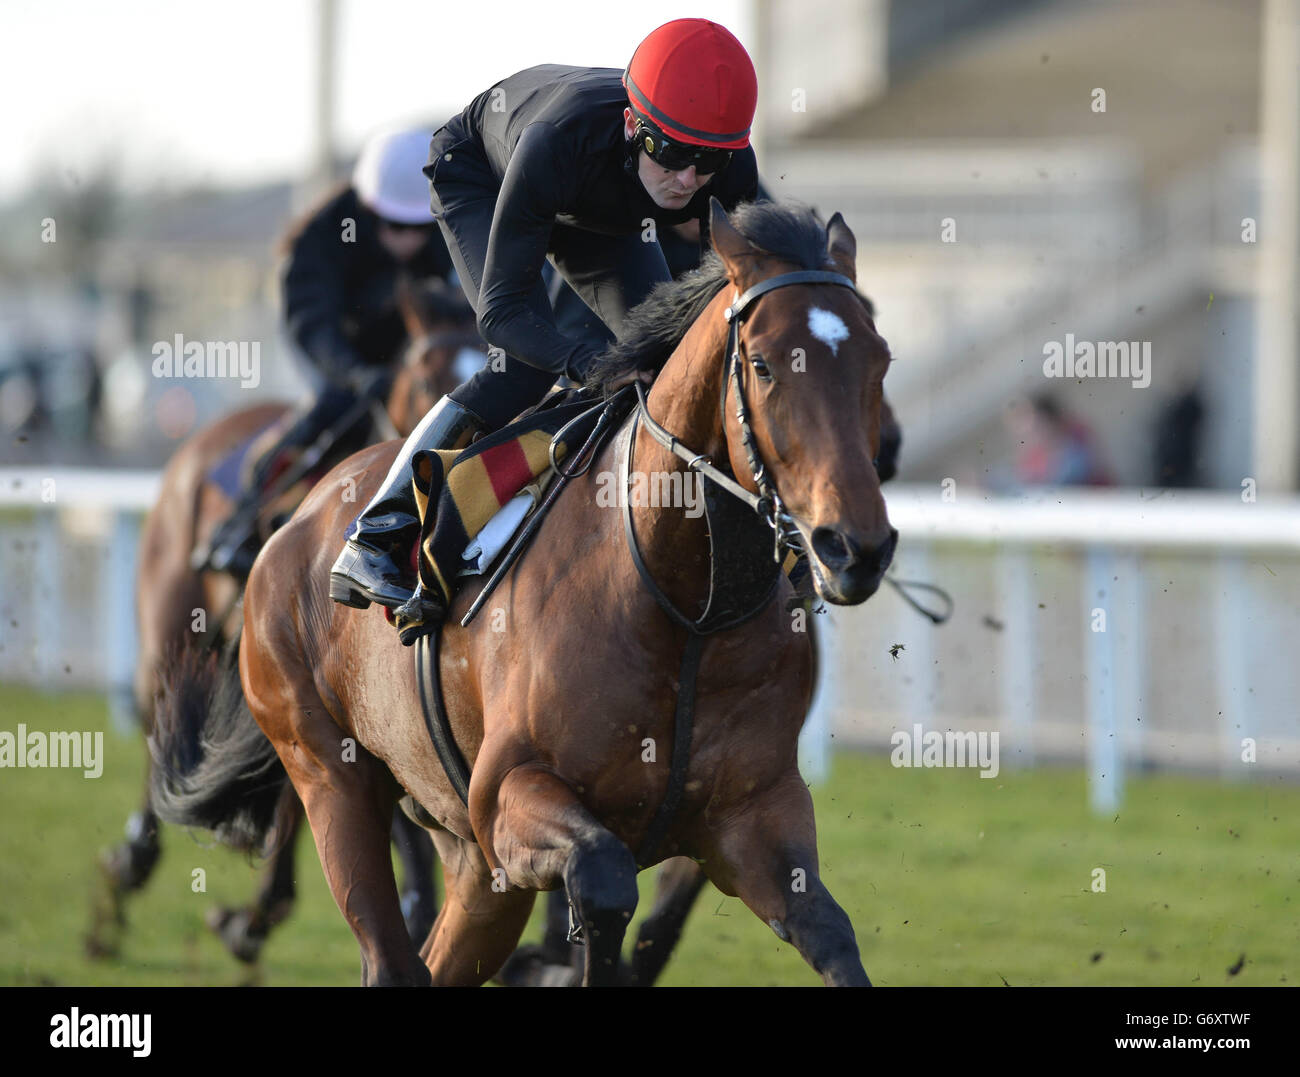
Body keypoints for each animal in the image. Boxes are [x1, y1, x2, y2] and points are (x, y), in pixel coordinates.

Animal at [147, 197, 889, 988]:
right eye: (764, 364)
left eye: (880, 360)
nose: (855, 546)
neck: (685, 605)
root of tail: (298, 523)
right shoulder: (509, 797)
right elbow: (602, 881)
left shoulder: (755, 816)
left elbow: (829, 933)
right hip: (327, 771)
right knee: (386, 946)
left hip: (468, 853)